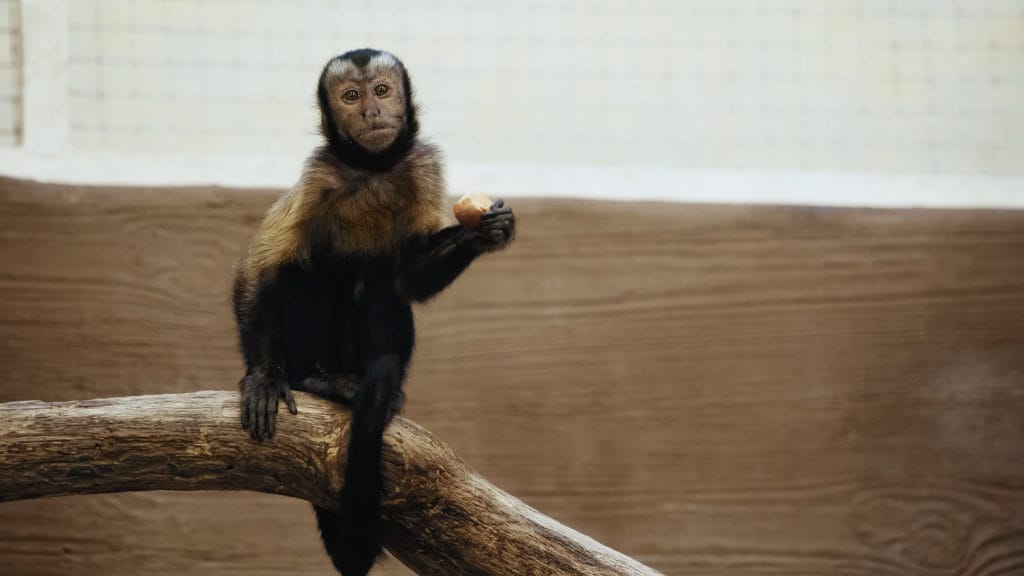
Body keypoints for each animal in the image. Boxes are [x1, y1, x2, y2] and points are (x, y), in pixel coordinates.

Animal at [234, 50, 516, 573]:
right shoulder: (317, 175)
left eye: (382, 90)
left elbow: (406, 281)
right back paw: (317, 380)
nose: (371, 112)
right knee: (300, 271)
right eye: (351, 96)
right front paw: (262, 377)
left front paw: (484, 231)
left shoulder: (422, 166)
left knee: (378, 277)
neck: (373, 168)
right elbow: (257, 272)